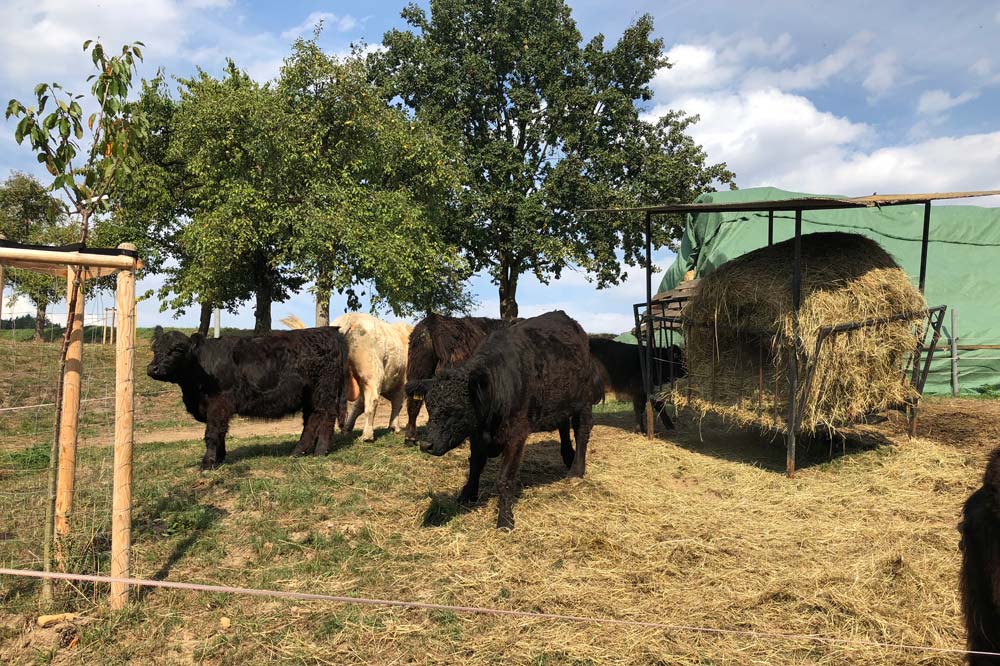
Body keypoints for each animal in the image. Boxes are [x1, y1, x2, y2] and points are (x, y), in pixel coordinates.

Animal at [146, 326, 350, 466]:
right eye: (155, 349)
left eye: (177, 350)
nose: (153, 368)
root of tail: (329, 331)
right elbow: (220, 432)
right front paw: (220, 459)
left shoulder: (218, 403)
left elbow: (212, 433)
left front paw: (208, 462)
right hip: (310, 395)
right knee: (312, 419)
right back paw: (297, 452)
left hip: (325, 390)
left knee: (326, 416)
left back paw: (320, 451)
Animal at [332, 312, 414, 440]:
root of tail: (348, 320)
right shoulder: (402, 383)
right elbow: (397, 404)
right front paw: (394, 427)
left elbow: (358, 405)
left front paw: (347, 428)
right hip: (372, 372)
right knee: (372, 400)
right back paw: (367, 436)